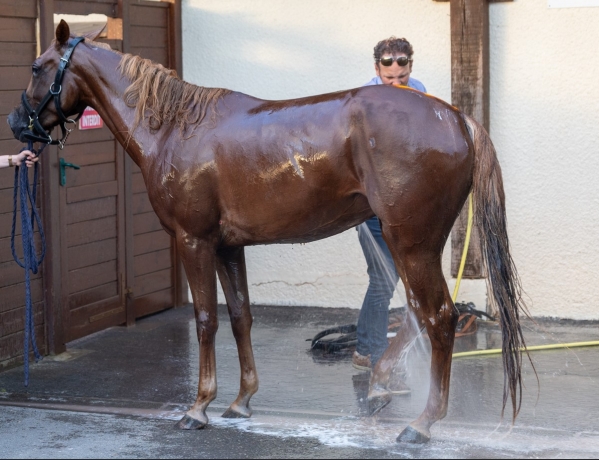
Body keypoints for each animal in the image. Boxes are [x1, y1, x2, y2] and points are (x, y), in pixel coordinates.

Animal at [7, 21, 528, 442]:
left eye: (36, 66)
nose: (16, 123)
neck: (175, 127)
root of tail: (456, 117)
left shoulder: (193, 241)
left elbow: (205, 319)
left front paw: (198, 407)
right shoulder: (227, 247)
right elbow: (240, 316)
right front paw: (241, 401)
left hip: (411, 243)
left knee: (437, 316)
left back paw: (421, 423)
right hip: (412, 245)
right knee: (420, 314)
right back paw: (383, 386)